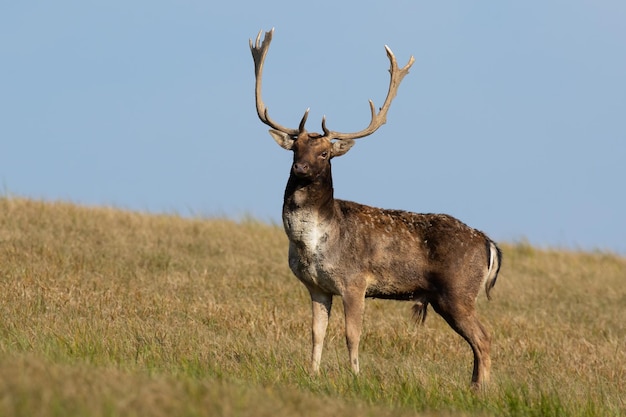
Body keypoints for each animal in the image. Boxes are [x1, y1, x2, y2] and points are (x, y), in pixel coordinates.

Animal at [249, 28, 502, 386]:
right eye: (295, 148)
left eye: (325, 153)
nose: (301, 168)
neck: (312, 243)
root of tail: (489, 243)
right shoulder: (316, 286)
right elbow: (316, 333)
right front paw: (312, 373)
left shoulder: (355, 282)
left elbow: (352, 334)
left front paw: (355, 375)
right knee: (478, 341)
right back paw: (472, 386)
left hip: (458, 292)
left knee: (484, 337)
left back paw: (482, 389)